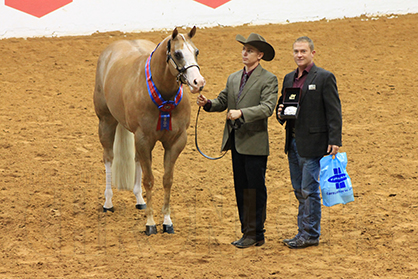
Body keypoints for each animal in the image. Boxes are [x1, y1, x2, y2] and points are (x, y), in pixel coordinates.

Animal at [94, 27, 206, 235]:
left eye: (196, 51)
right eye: (178, 54)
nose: (198, 82)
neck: (164, 97)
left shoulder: (176, 142)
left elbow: (167, 180)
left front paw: (167, 222)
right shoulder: (144, 139)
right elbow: (149, 180)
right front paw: (150, 224)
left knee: (136, 160)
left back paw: (139, 200)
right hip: (106, 122)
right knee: (108, 158)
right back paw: (108, 202)